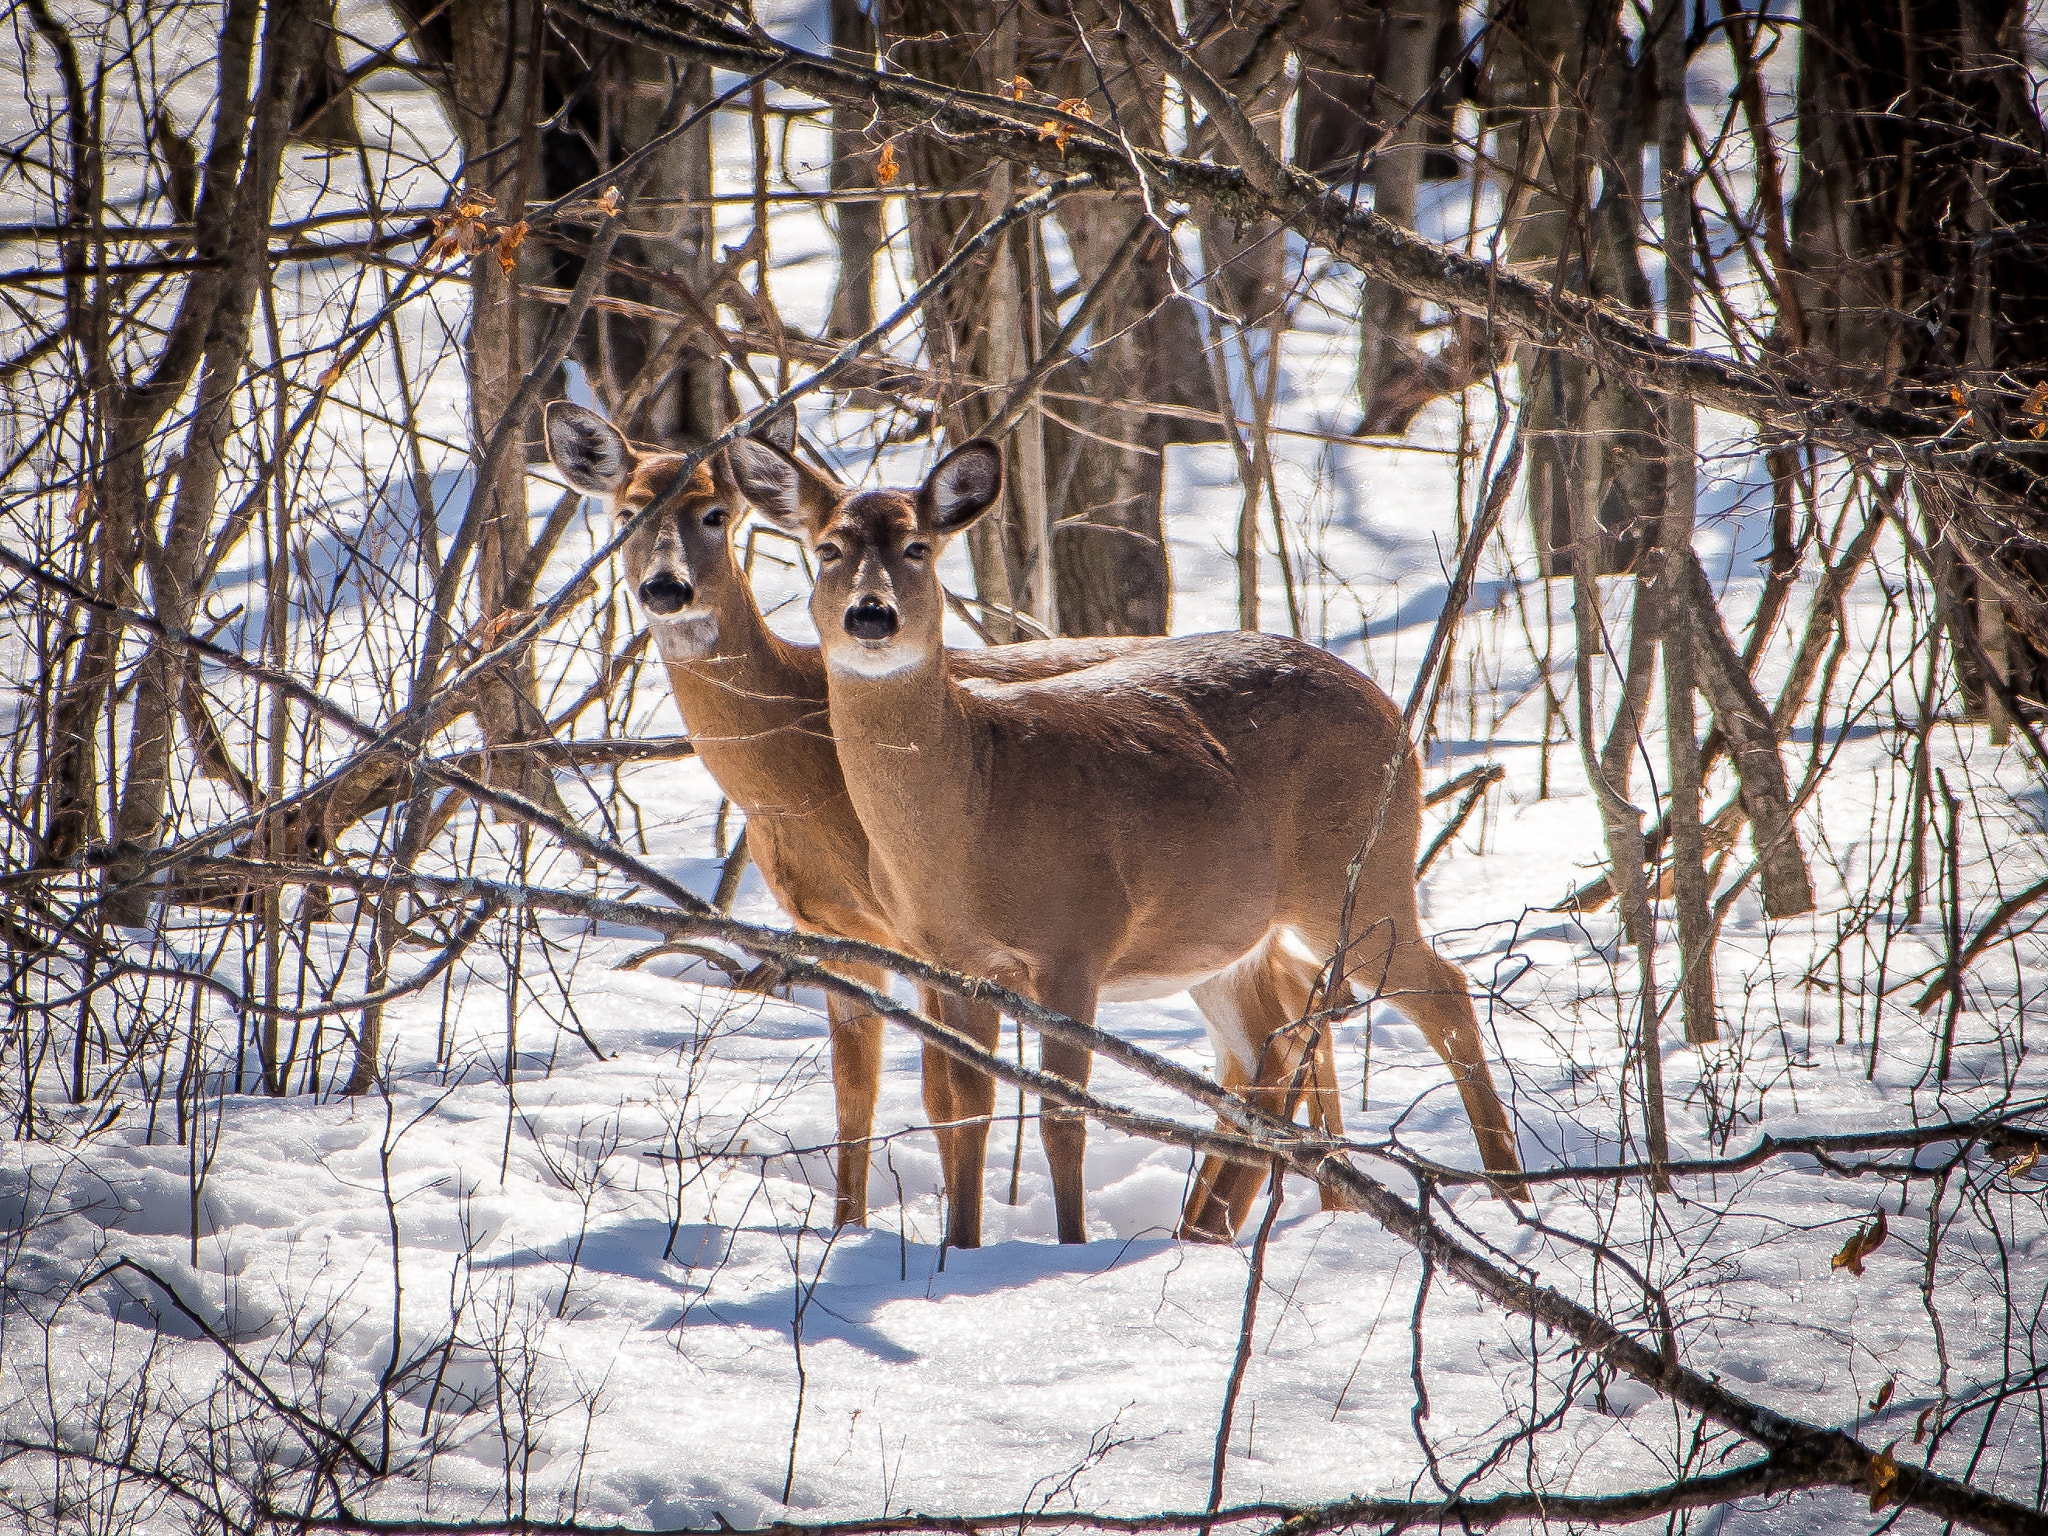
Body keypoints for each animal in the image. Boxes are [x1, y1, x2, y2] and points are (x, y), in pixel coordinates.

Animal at [545, 402, 1159, 1248]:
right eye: (627, 511)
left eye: (716, 512)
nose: (666, 588)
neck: (801, 773)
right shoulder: (832, 929)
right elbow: (853, 1092)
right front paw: (847, 1230)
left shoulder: (919, 937)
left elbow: (941, 1098)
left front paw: (949, 1240)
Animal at [726, 431, 1528, 1243]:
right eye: (828, 548)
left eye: (918, 546)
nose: (871, 615)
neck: (973, 808)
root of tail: (1396, 716)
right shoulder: (950, 960)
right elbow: (966, 1109)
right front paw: (960, 1245)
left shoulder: (1075, 941)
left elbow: (1063, 1115)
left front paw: (1070, 1244)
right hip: (1223, 932)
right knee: (1270, 1043)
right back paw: (1209, 1228)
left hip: (1358, 875)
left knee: (1443, 991)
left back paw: (1509, 1197)